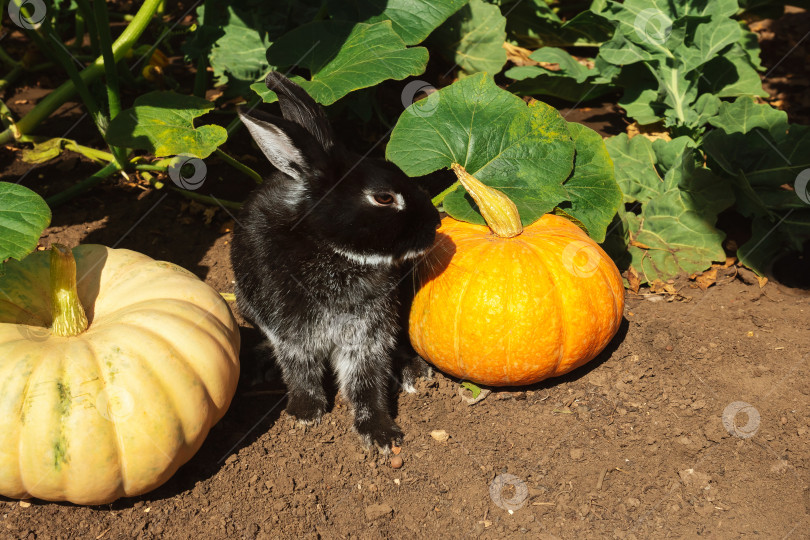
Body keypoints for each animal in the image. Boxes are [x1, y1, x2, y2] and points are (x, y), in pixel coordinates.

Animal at [230, 73, 438, 452]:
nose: (434, 227)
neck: (331, 249)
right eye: (383, 198)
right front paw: (305, 412)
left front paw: (381, 432)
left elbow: (366, 383)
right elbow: (300, 370)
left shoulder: (367, 335)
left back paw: (413, 371)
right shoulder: (293, 334)